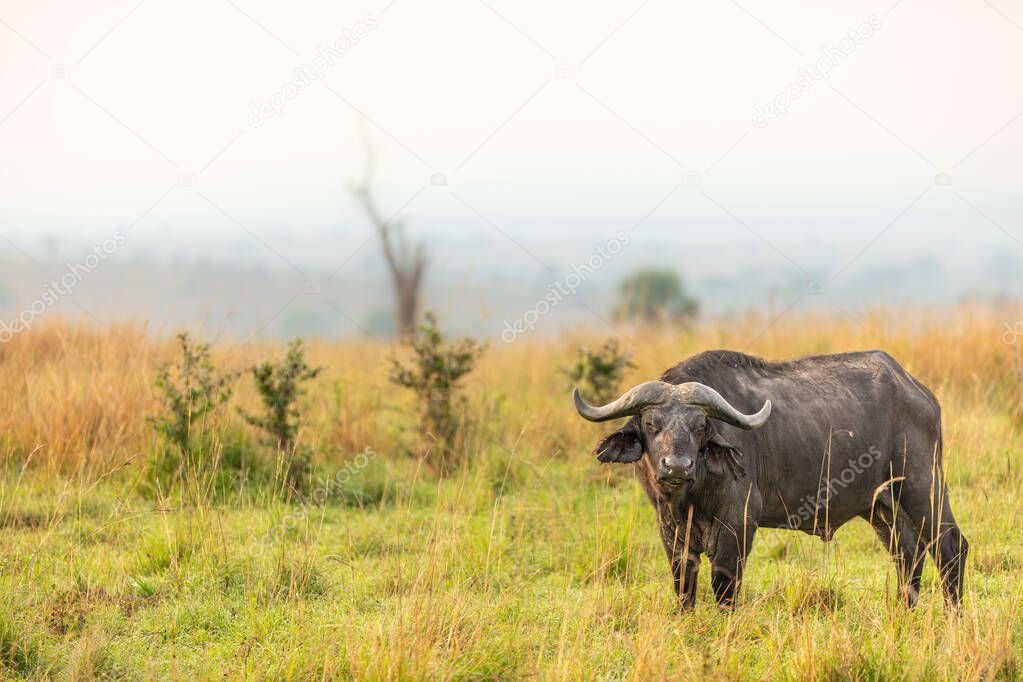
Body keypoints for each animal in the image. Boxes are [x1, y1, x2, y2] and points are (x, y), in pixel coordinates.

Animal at [576, 351, 965, 609]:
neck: (692, 496)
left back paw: (953, 615)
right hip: (881, 506)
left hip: (922, 485)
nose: (677, 466)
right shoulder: (669, 527)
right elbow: (683, 583)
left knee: (950, 546)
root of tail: (920, 392)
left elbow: (724, 583)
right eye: (651, 424)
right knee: (908, 553)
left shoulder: (738, 522)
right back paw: (903, 612)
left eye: (700, 426)